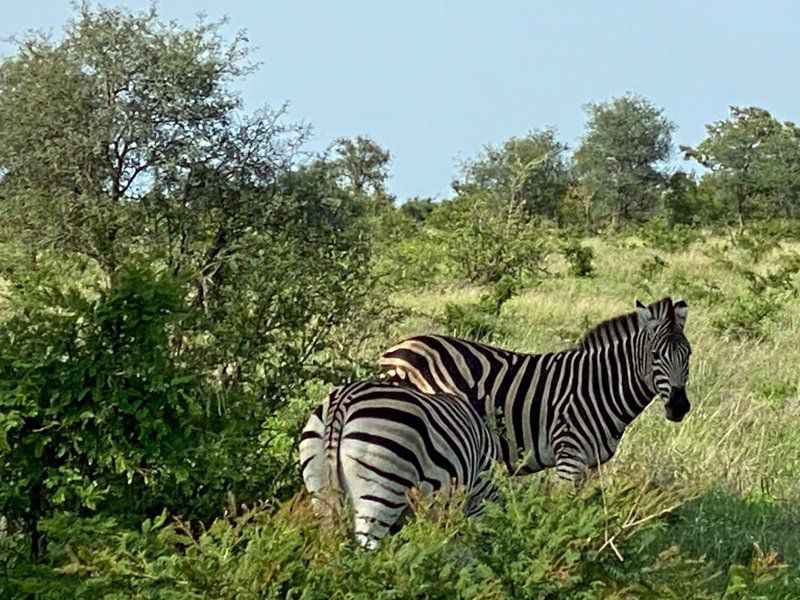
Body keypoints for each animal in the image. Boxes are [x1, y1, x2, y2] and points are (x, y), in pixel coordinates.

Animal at [378, 298, 692, 486]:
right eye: (654, 355)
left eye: (688, 354)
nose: (679, 407)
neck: (600, 387)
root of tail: (396, 350)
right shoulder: (570, 456)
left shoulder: (588, 465)